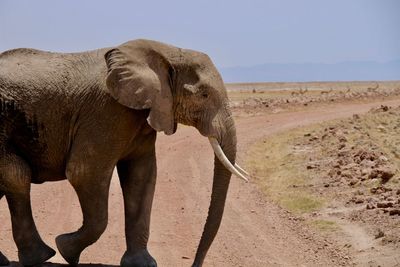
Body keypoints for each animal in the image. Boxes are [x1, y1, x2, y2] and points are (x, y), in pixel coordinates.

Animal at [0, 38, 248, 266]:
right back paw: (40, 257)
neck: (165, 51)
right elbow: (84, 173)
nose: (194, 263)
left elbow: (141, 177)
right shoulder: (107, 111)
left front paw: (142, 264)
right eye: (204, 95)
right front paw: (65, 249)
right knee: (17, 174)